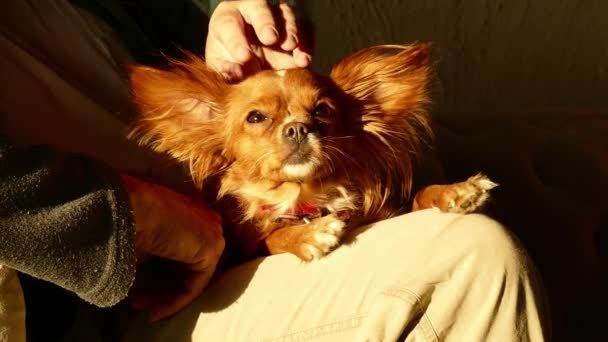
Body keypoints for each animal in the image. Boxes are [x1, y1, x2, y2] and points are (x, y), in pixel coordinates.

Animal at [127, 42, 494, 262]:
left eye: (322, 111)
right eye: (256, 117)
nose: (298, 128)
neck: (309, 197)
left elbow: (418, 198)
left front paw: (455, 191)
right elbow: (274, 238)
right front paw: (308, 235)